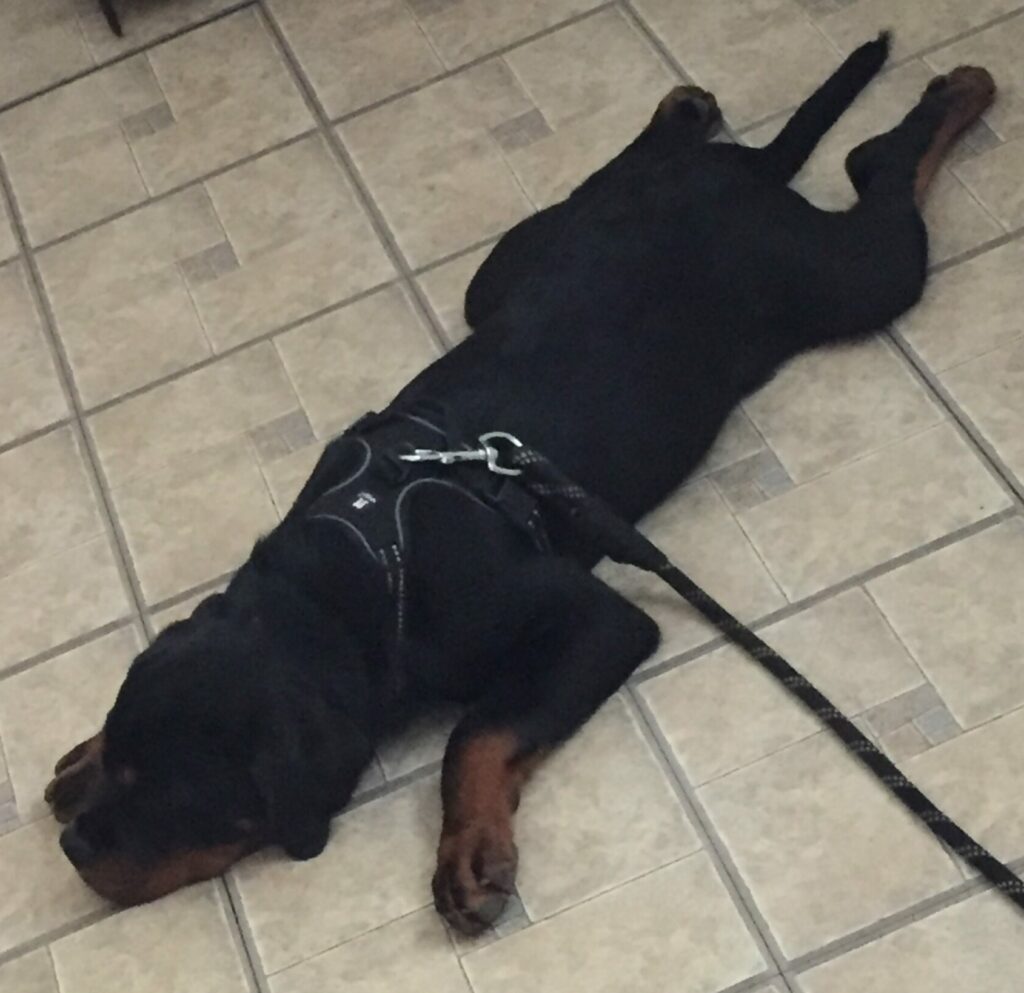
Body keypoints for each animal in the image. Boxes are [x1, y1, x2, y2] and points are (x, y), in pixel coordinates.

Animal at [46, 34, 991, 933]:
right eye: (123, 768)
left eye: (168, 794)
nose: (73, 846)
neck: (350, 578)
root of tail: (740, 174)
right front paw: (79, 754)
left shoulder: (593, 617)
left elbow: (476, 730)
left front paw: (469, 856)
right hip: (512, 261)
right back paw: (684, 113)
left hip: (842, 277)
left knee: (878, 174)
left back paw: (960, 92)